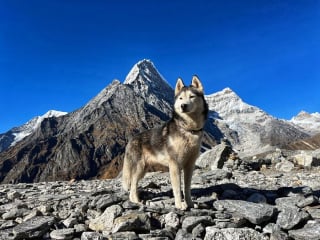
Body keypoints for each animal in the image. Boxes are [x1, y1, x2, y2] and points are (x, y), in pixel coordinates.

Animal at [122, 76, 208, 209]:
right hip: (139, 168)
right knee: (132, 186)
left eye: (192, 96)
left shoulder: (189, 165)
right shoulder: (174, 165)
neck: (188, 129)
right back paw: (137, 202)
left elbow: (187, 188)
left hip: (144, 170)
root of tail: (131, 140)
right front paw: (179, 205)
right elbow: (177, 188)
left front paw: (189, 203)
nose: (183, 106)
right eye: (181, 98)